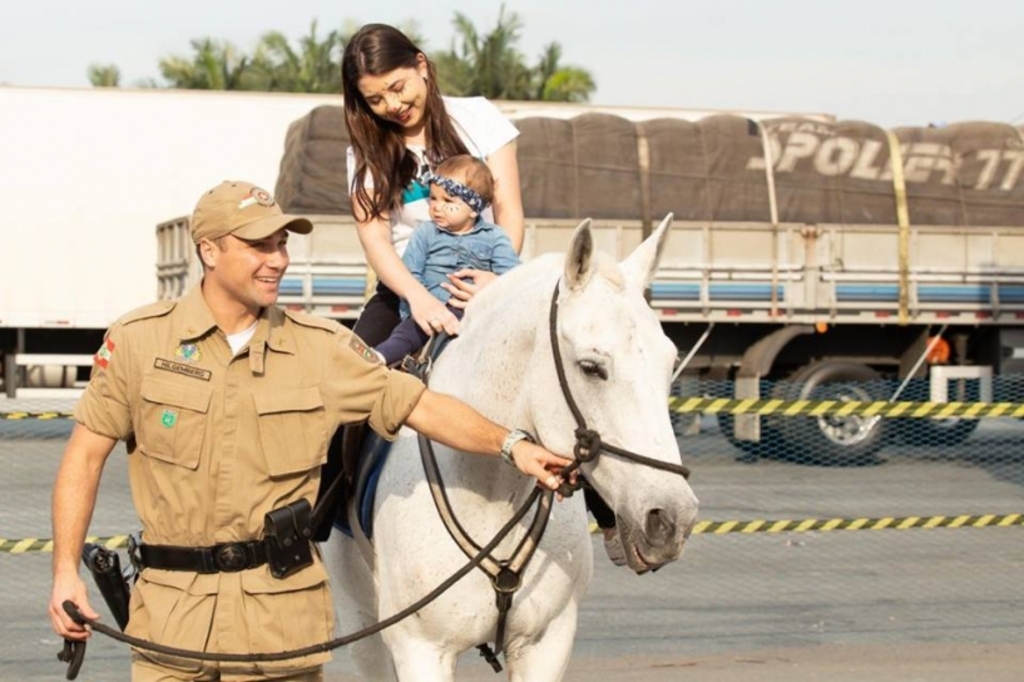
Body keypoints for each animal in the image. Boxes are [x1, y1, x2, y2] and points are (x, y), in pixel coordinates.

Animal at [323, 218, 700, 679]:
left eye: (670, 363)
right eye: (591, 367)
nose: (673, 518)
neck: (491, 491)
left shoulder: (546, 644)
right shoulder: (420, 649)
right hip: (362, 620)